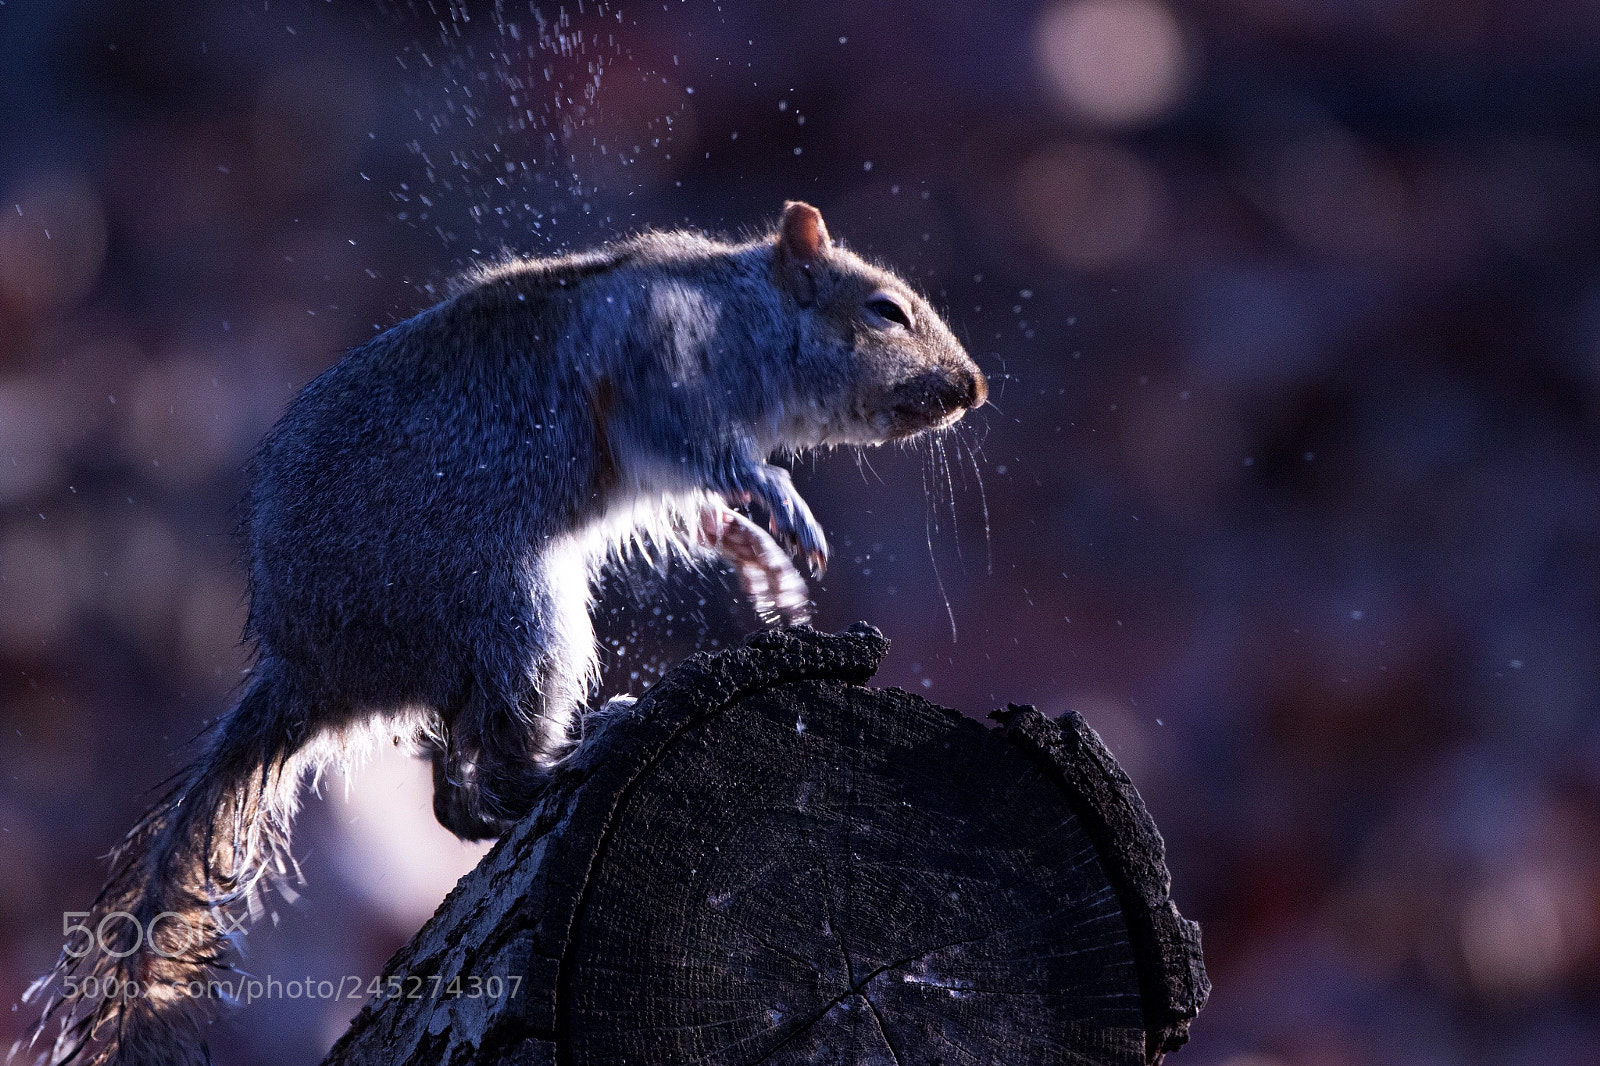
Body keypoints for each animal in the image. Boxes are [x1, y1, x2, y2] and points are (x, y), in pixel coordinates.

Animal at [20, 201, 986, 1066]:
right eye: (885, 310)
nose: (973, 390)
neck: (744, 310)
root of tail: (313, 672)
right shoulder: (661, 378)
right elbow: (715, 457)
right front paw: (784, 508)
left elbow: (706, 506)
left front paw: (760, 555)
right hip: (519, 616)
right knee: (484, 774)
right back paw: (577, 751)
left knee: (455, 786)